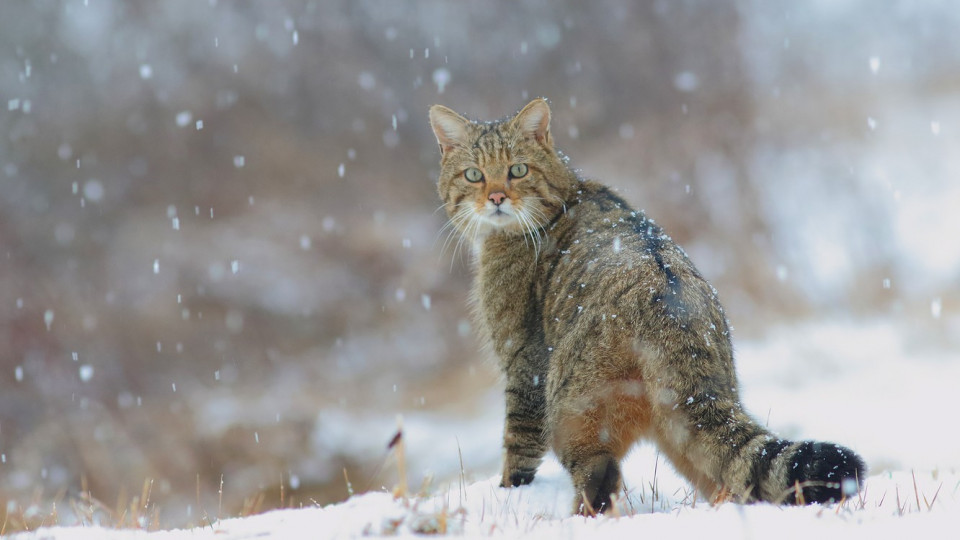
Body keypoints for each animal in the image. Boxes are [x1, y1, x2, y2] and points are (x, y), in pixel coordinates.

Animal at [432, 98, 868, 516]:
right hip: (684, 427)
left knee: (599, 478)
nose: (496, 197)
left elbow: (517, 448)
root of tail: (671, 308)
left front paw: (508, 493)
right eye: (473, 175)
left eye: (517, 170)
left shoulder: (524, 363)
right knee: (731, 478)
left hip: (570, 409)